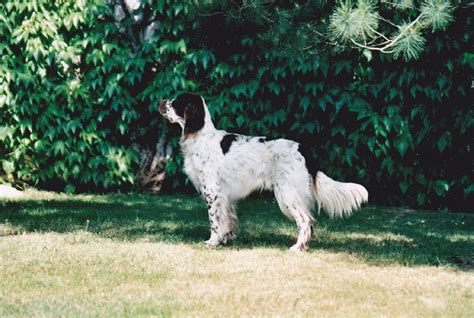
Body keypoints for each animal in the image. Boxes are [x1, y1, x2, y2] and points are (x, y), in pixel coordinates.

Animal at [157, 92, 368, 251]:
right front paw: (227, 239)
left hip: (287, 193)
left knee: (306, 221)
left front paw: (213, 241)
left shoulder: (212, 191)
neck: (200, 136)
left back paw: (297, 247)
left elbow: (214, 220)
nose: (160, 102)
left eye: (175, 102)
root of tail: (302, 149)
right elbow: (228, 220)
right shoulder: (226, 195)